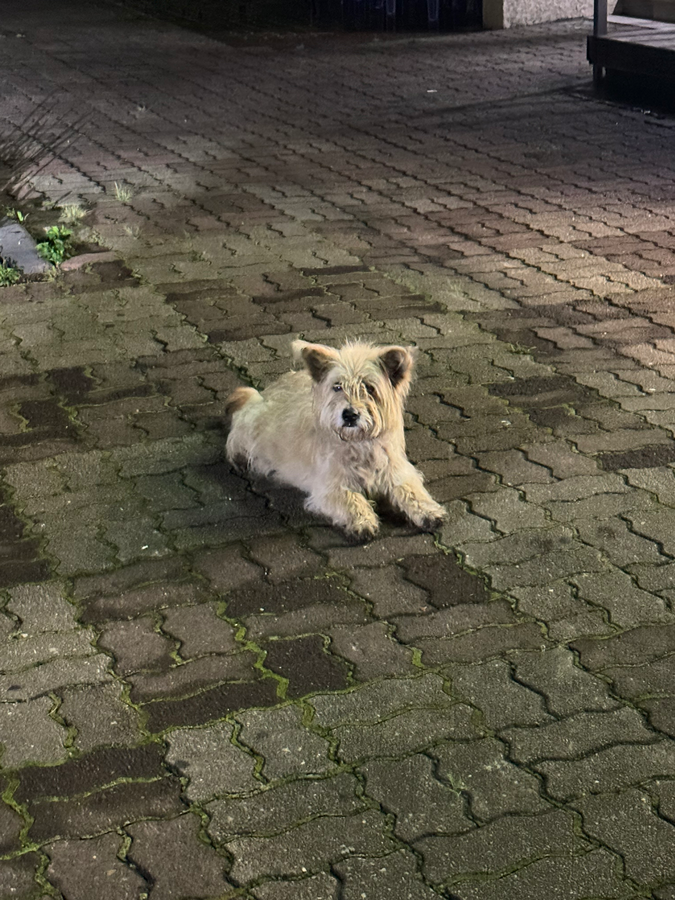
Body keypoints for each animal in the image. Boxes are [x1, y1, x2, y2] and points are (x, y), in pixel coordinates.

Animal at [227, 342, 448, 540]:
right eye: (337, 387)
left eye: (369, 387)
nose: (349, 415)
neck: (360, 444)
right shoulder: (329, 487)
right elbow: (351, 498)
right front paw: (363, 520)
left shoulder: (397, 471)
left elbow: (411, 489)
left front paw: (428, 510)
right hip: (253, 424)